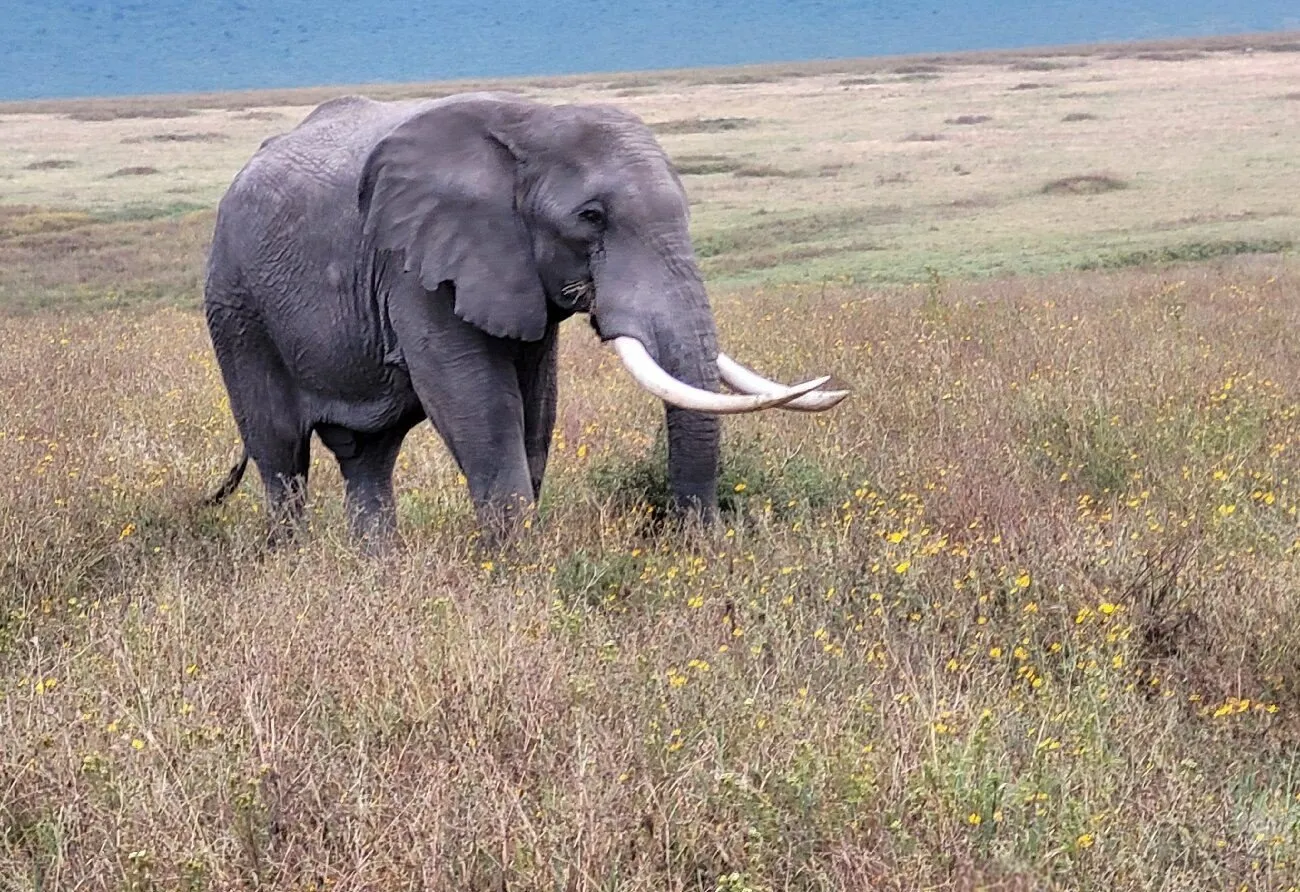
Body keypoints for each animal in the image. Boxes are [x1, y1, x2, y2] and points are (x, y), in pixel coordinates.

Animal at [204, 91, 847, 540]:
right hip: (236, 307)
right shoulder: (417, 266)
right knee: (281, 453)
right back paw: (295, 561)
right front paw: (518, 564)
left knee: (369, 456)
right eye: (591, 217)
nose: (697, 543)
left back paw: (376, 570)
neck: (533, 120)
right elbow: (481, 405)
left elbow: (537, 407)